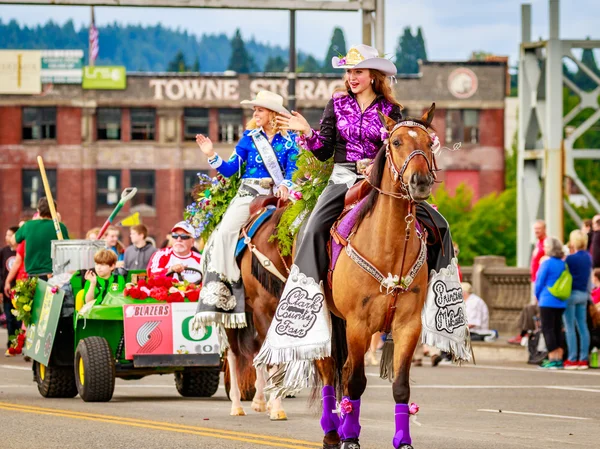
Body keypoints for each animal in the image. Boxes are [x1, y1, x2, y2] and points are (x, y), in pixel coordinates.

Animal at [224, 207, 292, 420]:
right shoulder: (263, 310)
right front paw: (277, 407)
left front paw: (271, 402)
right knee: (233, 353)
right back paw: (237, 404)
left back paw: (261, 400)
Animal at [318, 104, 436, 448]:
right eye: (395, 142)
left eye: (429, 141)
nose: (420, 181)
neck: (389, 245)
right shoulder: (358, 324)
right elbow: (356, 382)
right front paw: (351, 438)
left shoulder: (408, 325)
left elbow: (401, 386)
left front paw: (403, 440)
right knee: (329, 369)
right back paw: (333, 432)